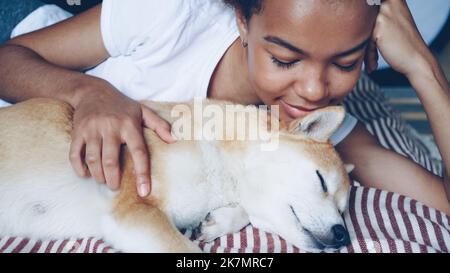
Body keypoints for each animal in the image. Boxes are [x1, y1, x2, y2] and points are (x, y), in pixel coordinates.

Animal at [0, 98, 352, 251]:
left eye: (343, 209)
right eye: (321, 180)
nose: (342, 235)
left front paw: (215, 222)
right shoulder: (134, 212)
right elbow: (184, 249)